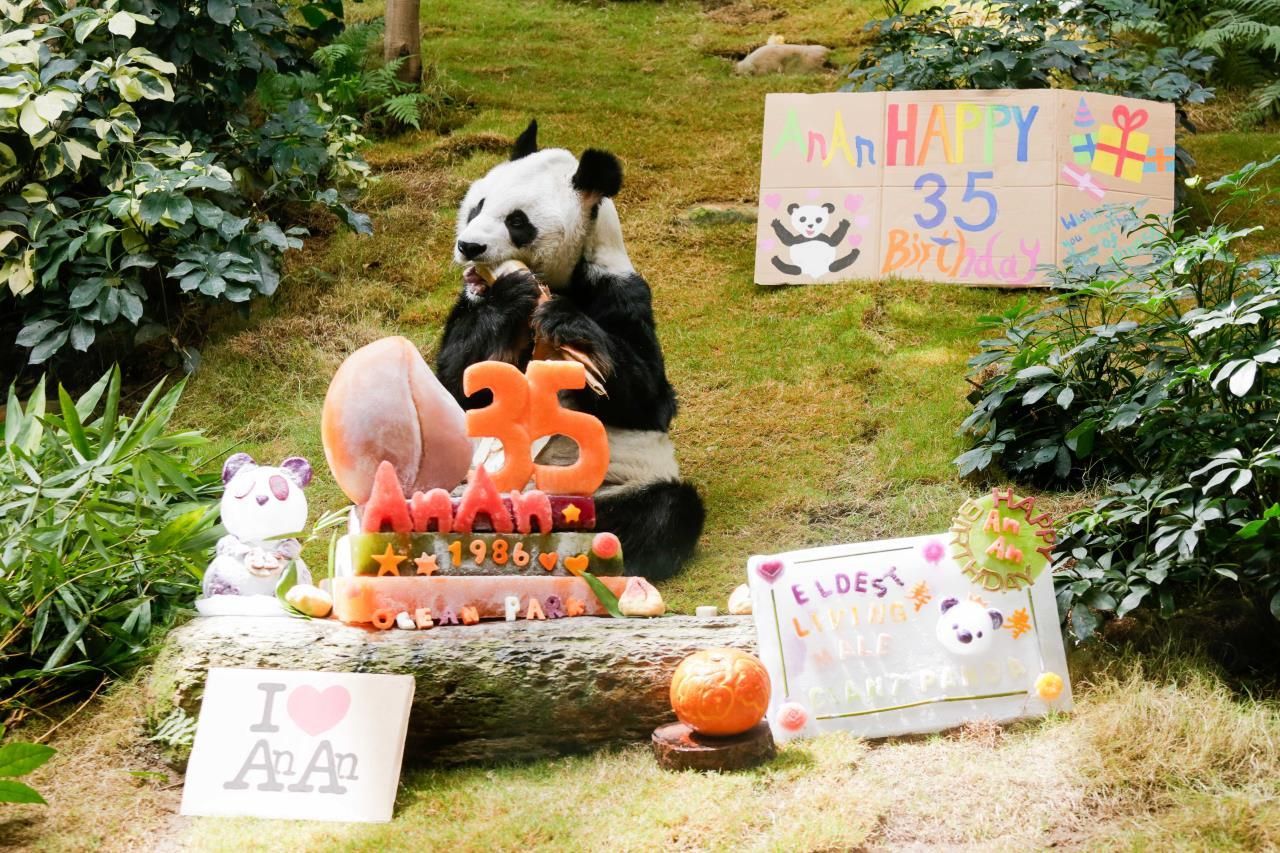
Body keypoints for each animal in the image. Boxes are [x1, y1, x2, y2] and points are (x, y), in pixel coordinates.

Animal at [435, 121, 706, 578]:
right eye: (477, 207)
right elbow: (457, 385)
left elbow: (652, 401)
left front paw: (568, 323)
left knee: (665, 511)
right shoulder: (469, 305)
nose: (468, 246)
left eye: (517, 221)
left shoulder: (621, 293)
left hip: (613, 487)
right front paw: (511, 294)